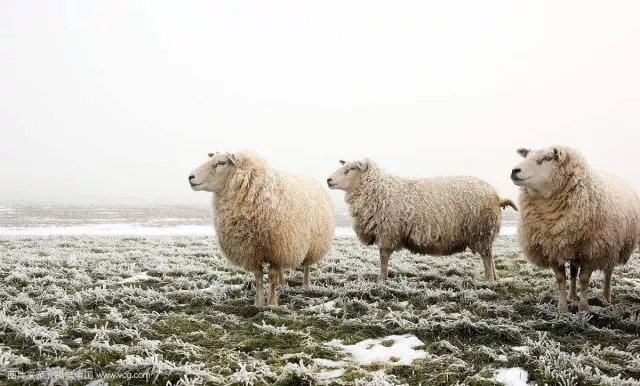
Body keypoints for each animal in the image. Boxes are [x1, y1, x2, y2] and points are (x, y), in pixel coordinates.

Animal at [189, 152, 336, 306]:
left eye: (221, 163)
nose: (190, 177)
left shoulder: (277, 249)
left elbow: (271, 276)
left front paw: (271, 303)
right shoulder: (252, 250)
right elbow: (258, 276)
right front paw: (258, 303)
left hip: (314, 244)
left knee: (307, 265)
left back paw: (306, 284)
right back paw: (283, 283)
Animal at [328, 158, 516, 282]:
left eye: (350, 170)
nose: (328, 180)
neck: (380, 190)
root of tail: (496, 195)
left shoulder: (388, 231)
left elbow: (383, 257)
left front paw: (381, 280)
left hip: (481, 230)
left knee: (486, 256)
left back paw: (489, 280)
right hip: (485, 232)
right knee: (490, 255)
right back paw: (496, 277)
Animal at [512, 146, 640, 312]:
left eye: (548, 158)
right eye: (527, 155)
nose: (514, 170)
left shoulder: (593, 250)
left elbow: (584, 280)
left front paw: (583, 308)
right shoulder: (552, 248)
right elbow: (561, 279)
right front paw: (563, 308)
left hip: (611, 246)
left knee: (608, 272)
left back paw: (606, 298)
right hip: (573, 248)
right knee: (573, 272)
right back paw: (572, 295)